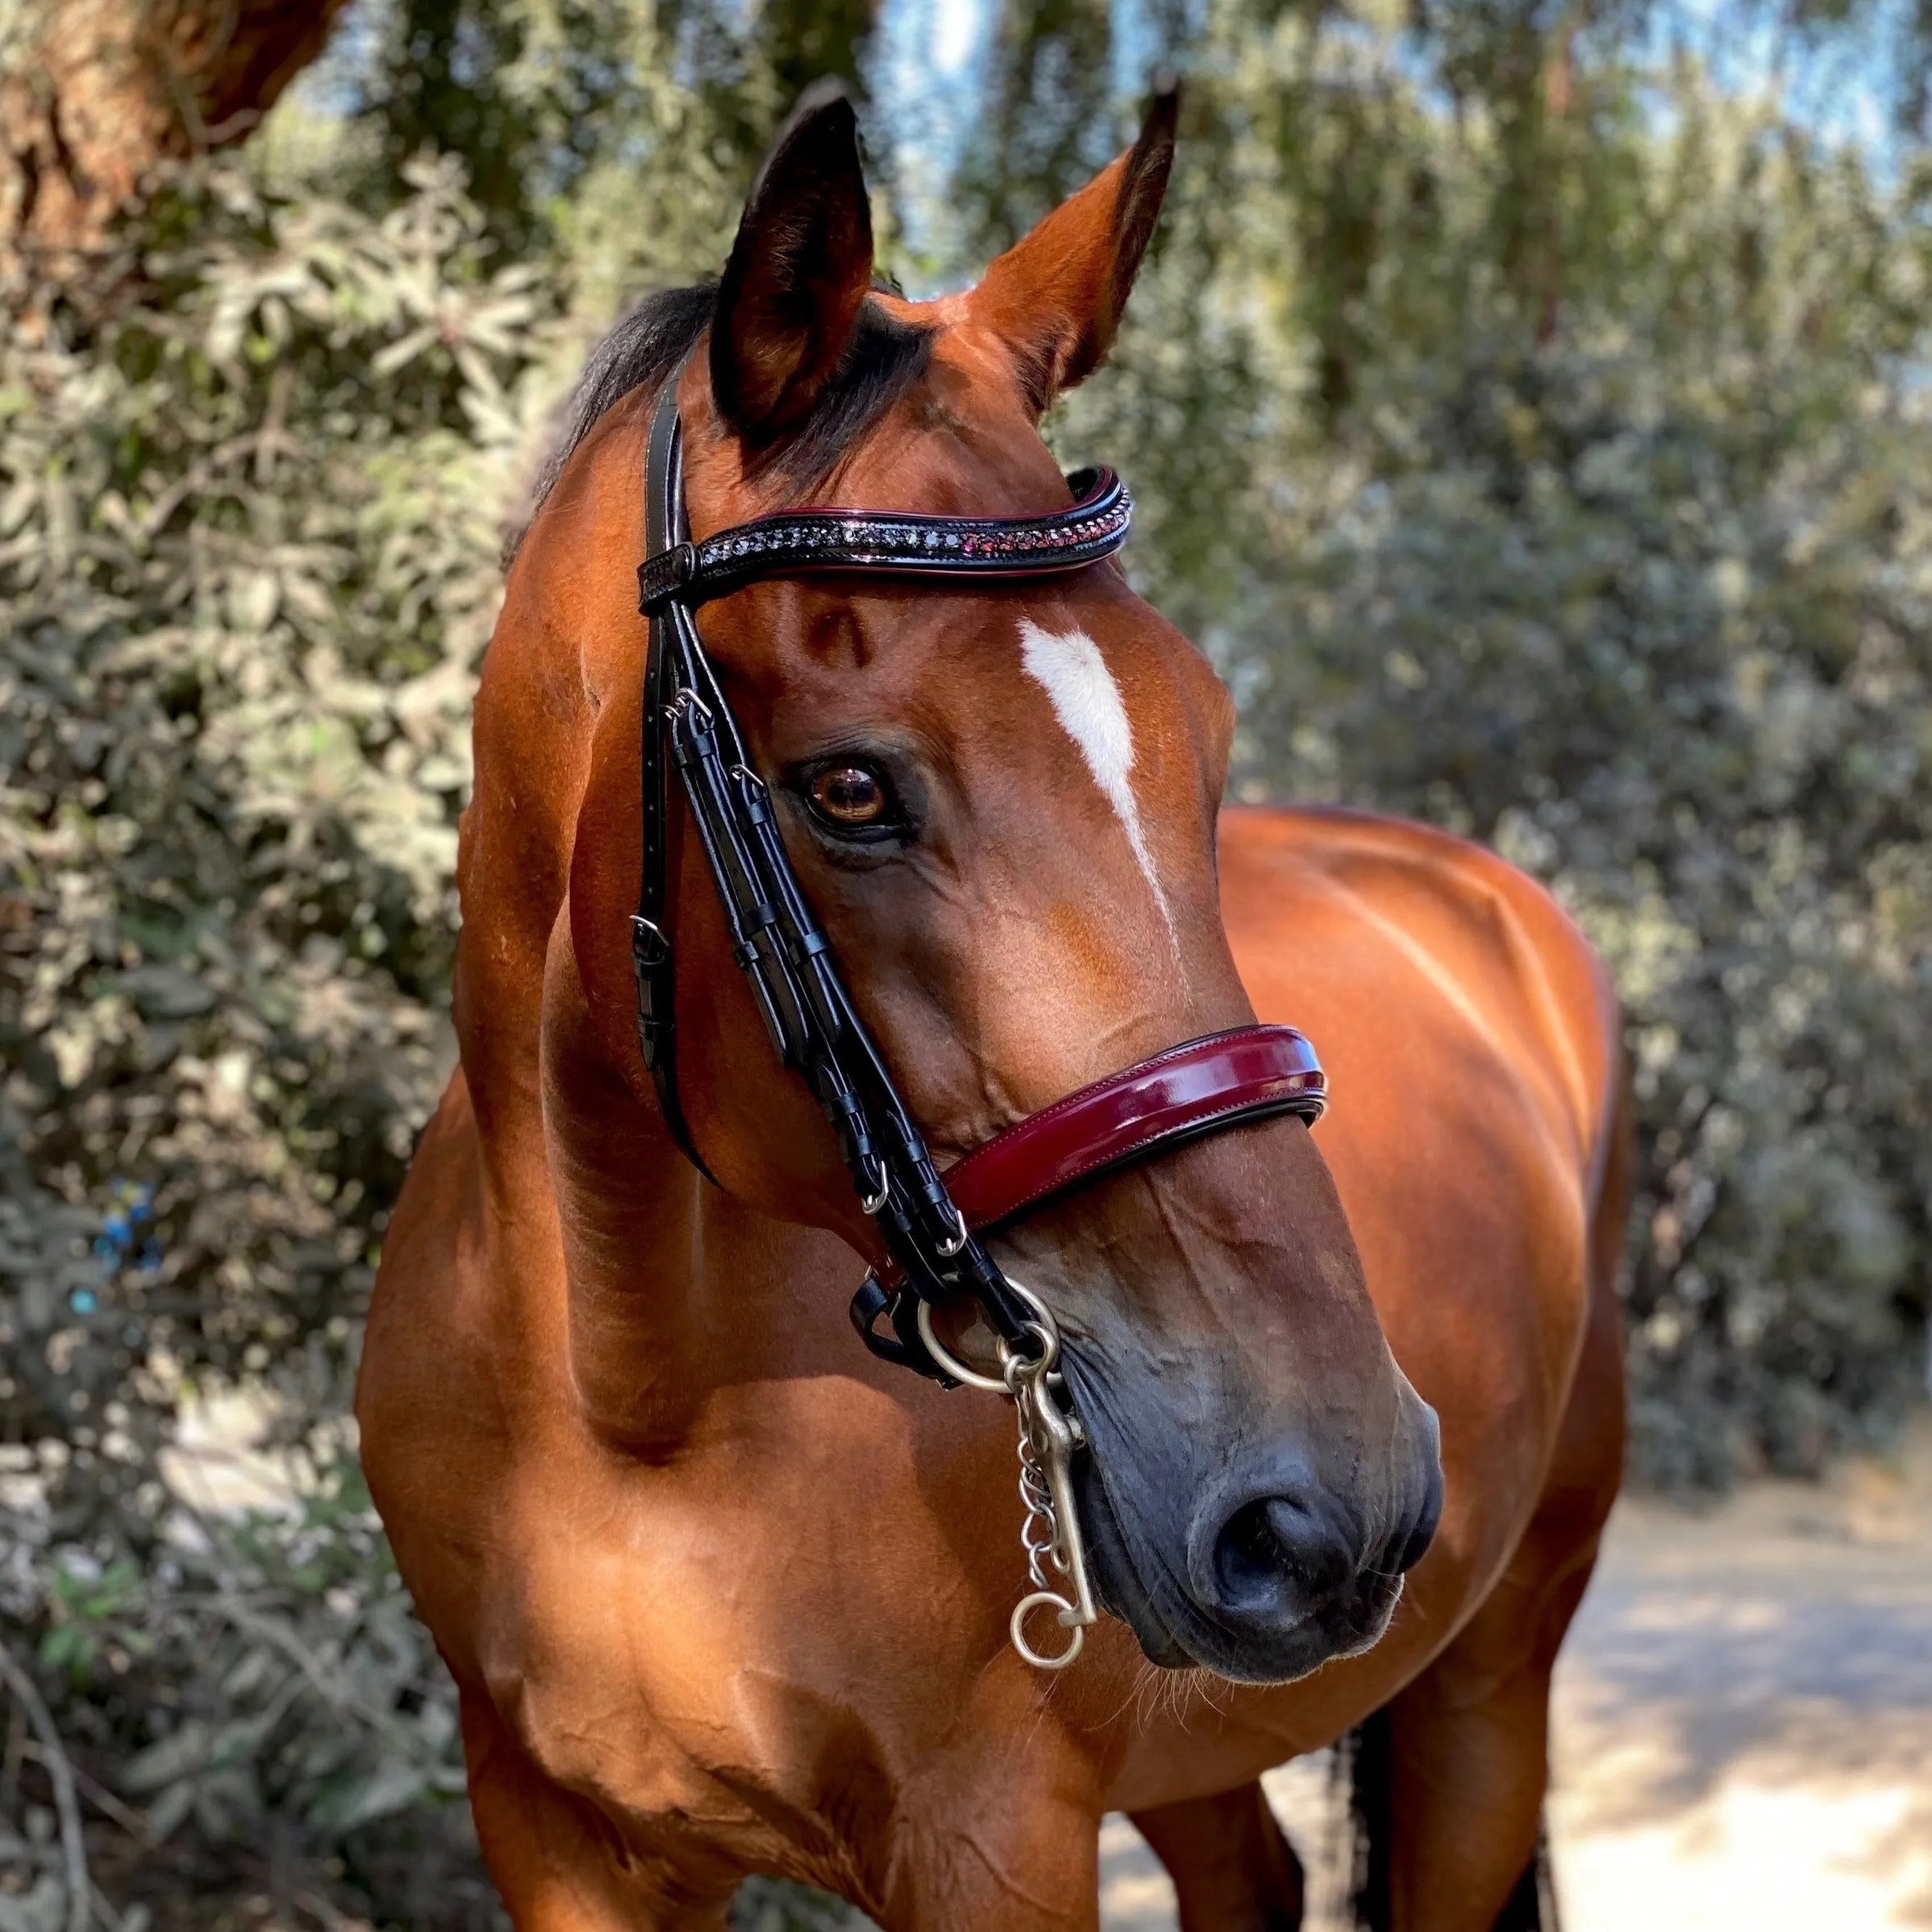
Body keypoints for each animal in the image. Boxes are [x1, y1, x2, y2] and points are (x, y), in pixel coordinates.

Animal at [359, 83, 1630, 1932]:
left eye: (1202, 736)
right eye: (849, 790)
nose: (1333, 1491)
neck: (622, 1395)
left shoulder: (991, 1838)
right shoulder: (554, 1834)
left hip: (1489, 1685)